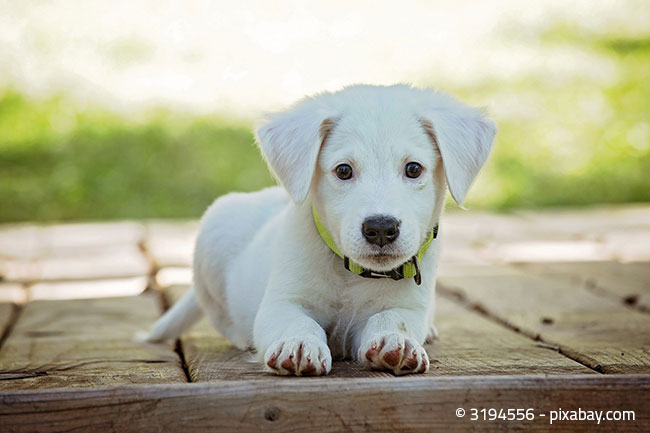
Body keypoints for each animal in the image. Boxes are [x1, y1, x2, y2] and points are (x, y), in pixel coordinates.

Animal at [146, 84, 492, 374]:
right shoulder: (281, 302)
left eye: (413, 169)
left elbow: (391, 318)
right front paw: (299, 344)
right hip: (214, 235)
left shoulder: (408, 306)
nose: (381, 228)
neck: (351, 273)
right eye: (344, 171)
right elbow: (298, 322)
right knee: (222, 317)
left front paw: (397, 342)